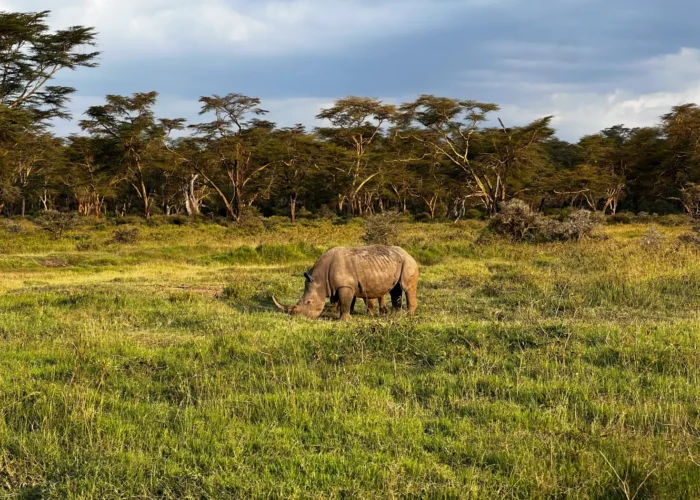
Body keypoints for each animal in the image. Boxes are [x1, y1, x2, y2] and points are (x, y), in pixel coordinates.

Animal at [272, 245, 419, 321]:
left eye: (309, 302)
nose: (296, 317)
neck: (320, 278)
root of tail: (409, 253)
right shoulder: (334, 286)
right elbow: (337, 301)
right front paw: (335, 314)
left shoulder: (345, 285)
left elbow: (344, 303)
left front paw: (343, 320)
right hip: (396, 262)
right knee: (395, 290)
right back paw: (395, 316)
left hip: (408, 263)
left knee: (407, 287)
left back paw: (408, 317)